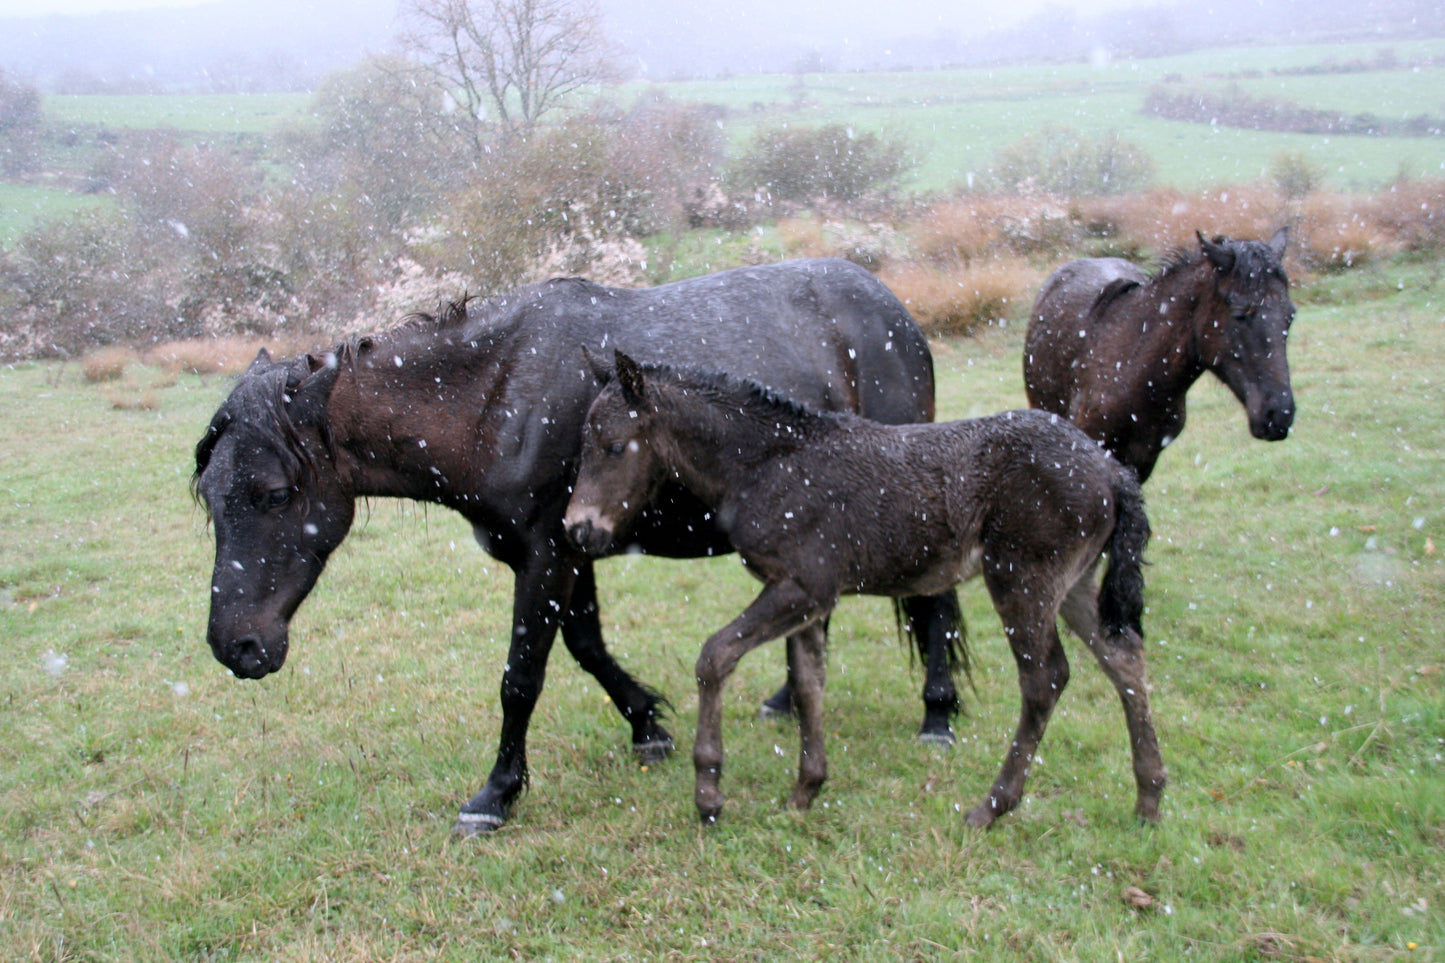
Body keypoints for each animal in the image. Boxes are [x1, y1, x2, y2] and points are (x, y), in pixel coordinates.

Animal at [191, 258, 964, 835]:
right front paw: (647, 725)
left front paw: (494, 795)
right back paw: (784, 698)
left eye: (272, 494)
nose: (237, 647)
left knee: (934, 600)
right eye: (209, 495)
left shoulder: (546, 556)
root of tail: (889, 305)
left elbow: (521, 677)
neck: (497, 395)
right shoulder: (569, 546)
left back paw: (937, 713)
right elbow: (587, 646)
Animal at [564, 351, 1163, 828]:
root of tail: (1113, 472)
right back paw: (1149, 798)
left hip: (1022, 577)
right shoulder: (805, 598)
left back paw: (992, 807)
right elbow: (808, 683)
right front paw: (805, 791)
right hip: (1075, 583)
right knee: (1124, 659)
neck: (768, 464)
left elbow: (715, 657)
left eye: (613, 446)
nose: (577, 529)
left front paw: (709, 793)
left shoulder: (802, 587)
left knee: (1045, 680)